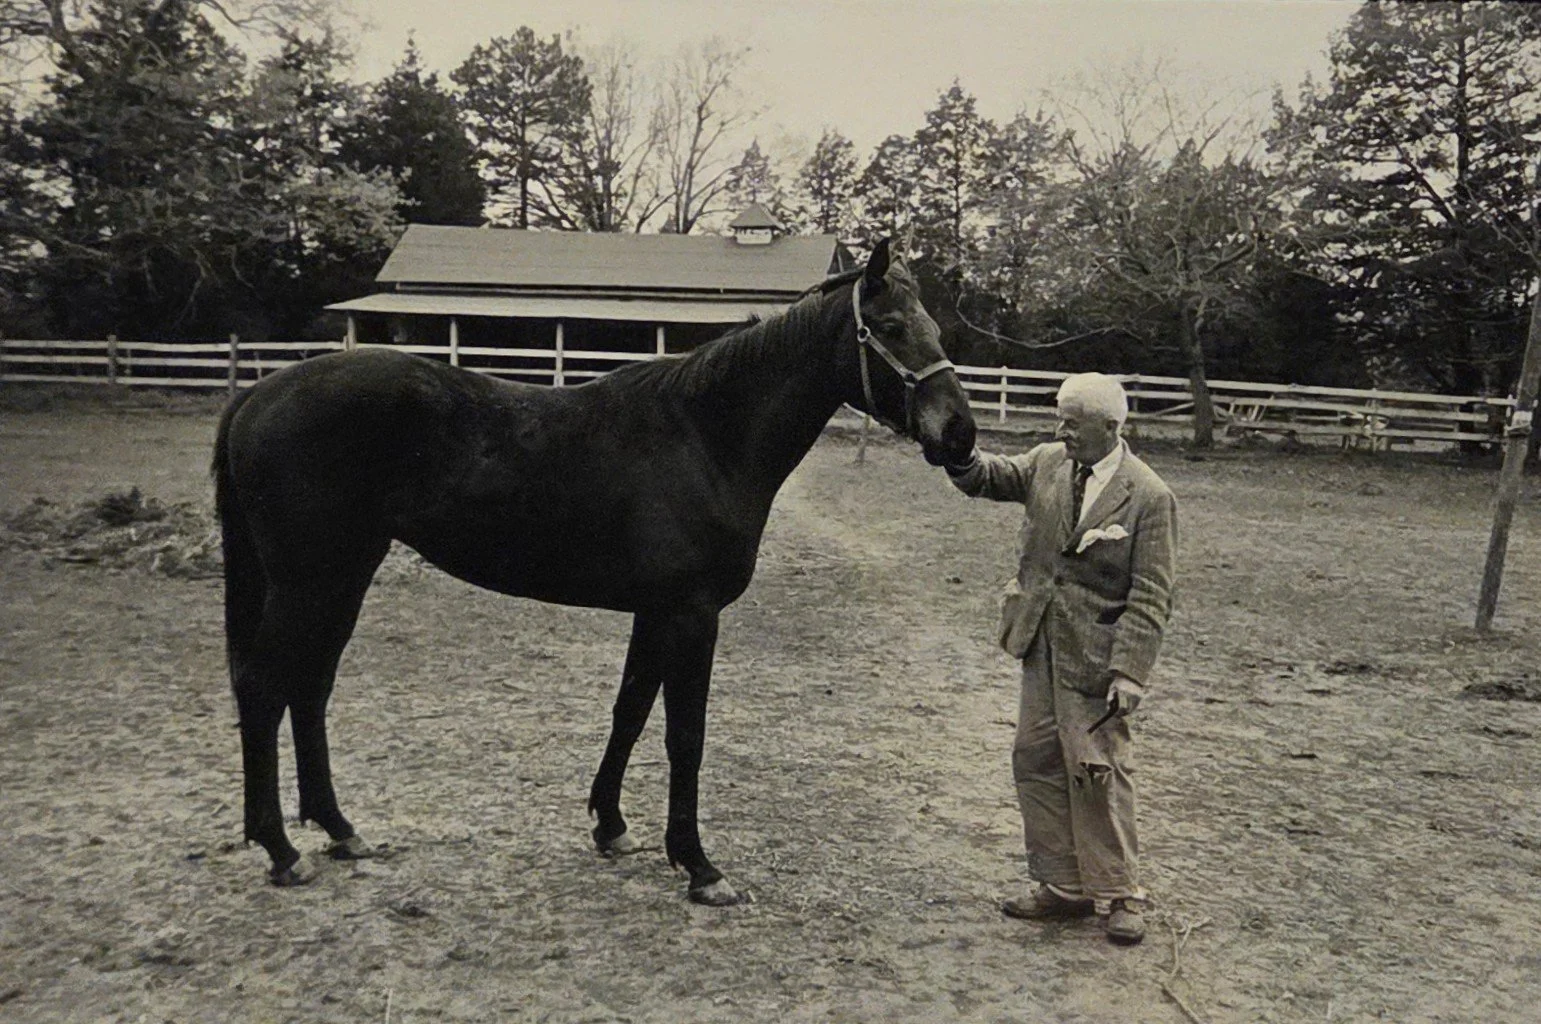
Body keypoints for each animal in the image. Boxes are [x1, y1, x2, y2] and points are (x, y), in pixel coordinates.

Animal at [212, 238, 977, 905]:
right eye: (888, 327)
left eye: (933, 327)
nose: (960, 435)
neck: (703, 436)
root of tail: (260, 392)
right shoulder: (691, 614)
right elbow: (684, 736)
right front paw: (700, 867)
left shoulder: (656, 611)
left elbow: (630, 709)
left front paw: (611, 827)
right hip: (309, 582)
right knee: (264, 688)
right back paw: (281, 849)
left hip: (342, 576)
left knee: (309, 689)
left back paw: (340, 830)